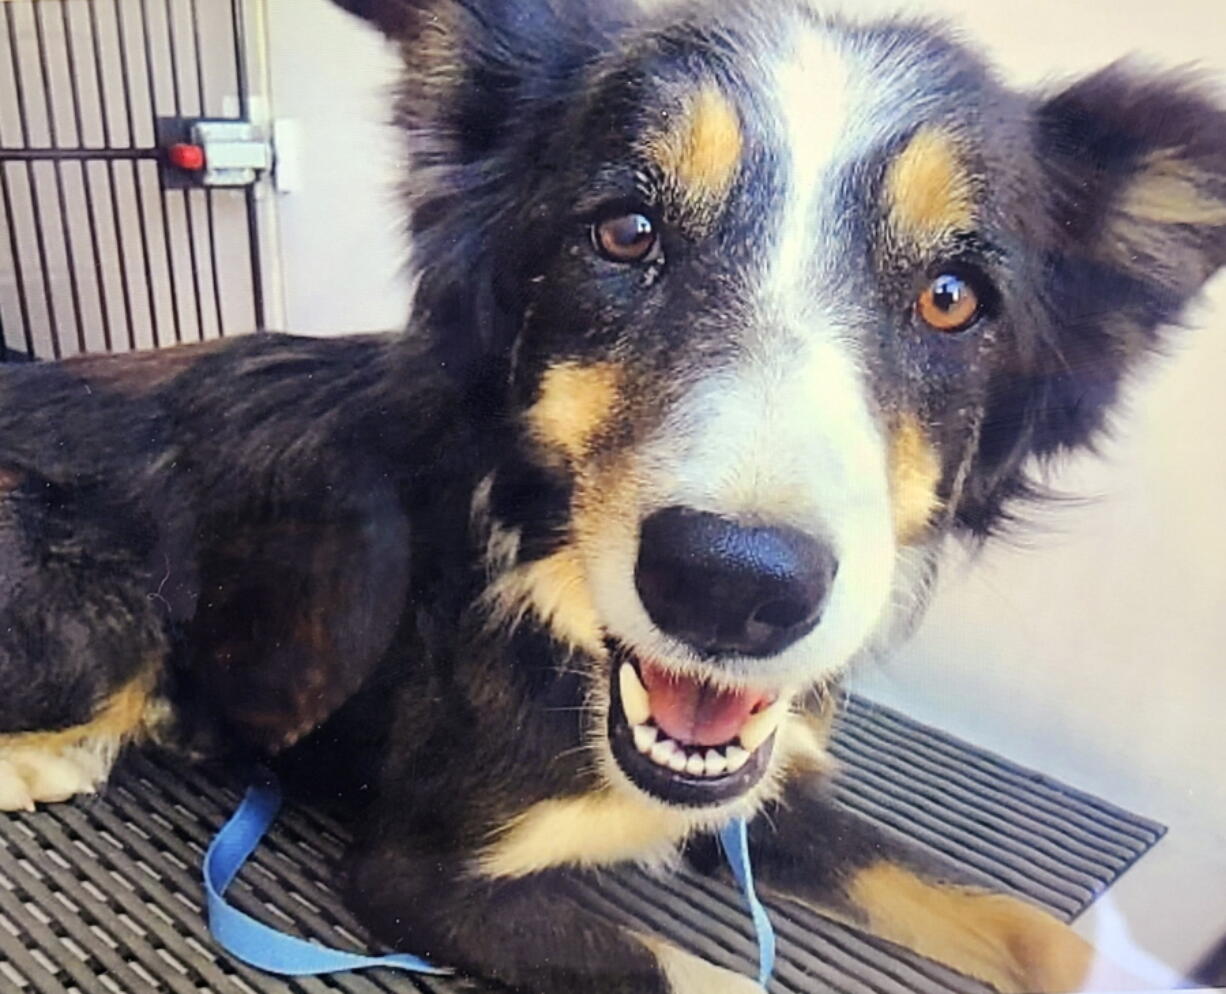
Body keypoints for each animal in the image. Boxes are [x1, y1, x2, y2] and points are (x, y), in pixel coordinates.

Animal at [2, 1, 1226, 994]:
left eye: (951, 296)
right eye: (625, 233)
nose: (732, 587)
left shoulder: (765, 795)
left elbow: (1020, 920)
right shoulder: (420, 876)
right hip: (103, 612)